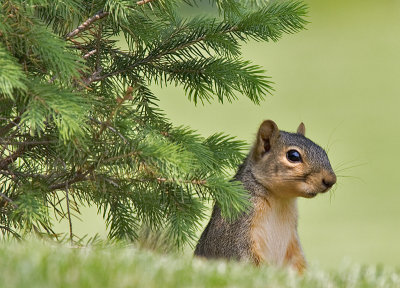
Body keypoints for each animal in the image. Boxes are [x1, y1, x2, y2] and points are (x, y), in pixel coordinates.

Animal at [194, 119, 334, 272]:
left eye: (324, 152)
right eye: (293, 156)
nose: (331, 180)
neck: (280, 200)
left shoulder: (293, 241)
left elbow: (298, 262)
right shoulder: (235, 225)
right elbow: (244, 258)